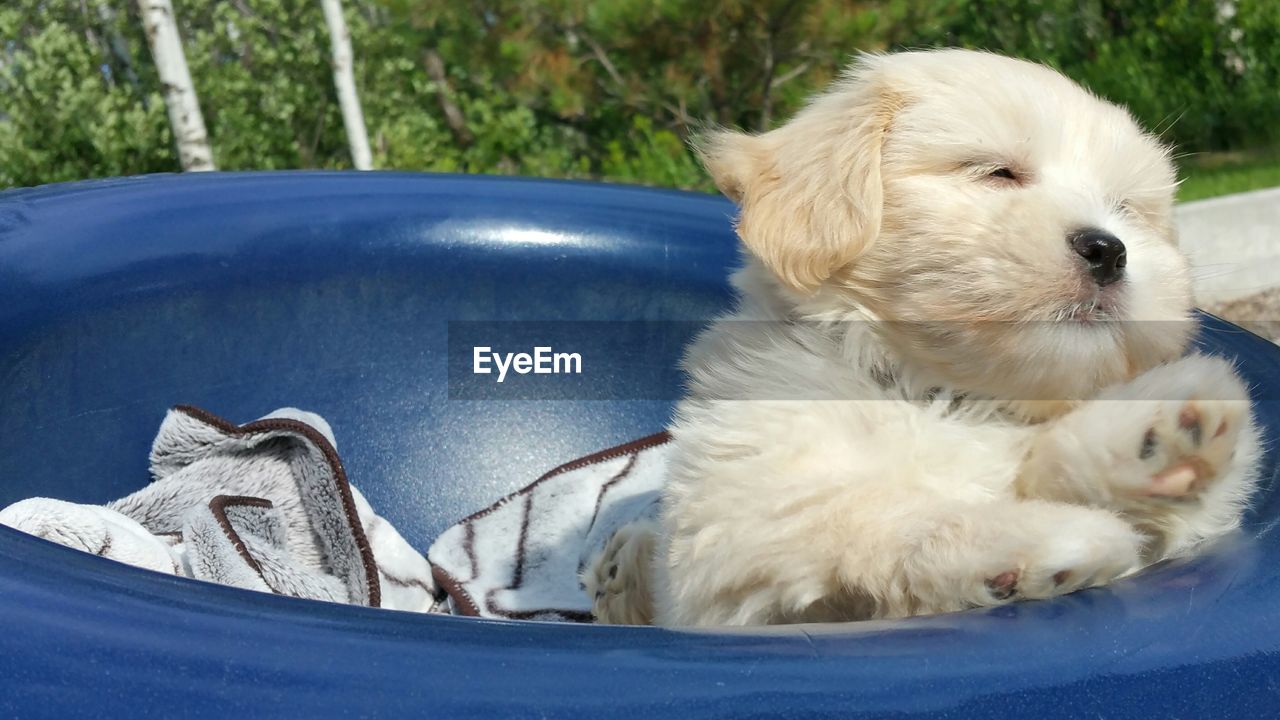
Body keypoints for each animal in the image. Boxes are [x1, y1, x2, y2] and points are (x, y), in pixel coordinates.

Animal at [586, 47, 1264, 625]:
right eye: (997, 173)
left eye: (1127, 209)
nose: (1109, 249)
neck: (941, 393)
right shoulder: (735, 540)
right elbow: (876, 517)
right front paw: (1039, 540)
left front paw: (1155, 438)